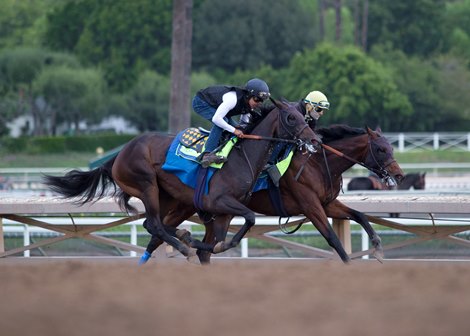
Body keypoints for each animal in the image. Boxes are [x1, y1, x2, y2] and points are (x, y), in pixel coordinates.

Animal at [43, 100, 320, 262]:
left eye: (302, 116)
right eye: (291, 118)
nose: (314, 140)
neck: (243, 156)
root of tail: (118, 155)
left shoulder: (224, 212)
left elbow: (222, 239)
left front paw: (210, 245)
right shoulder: (218, 201)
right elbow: (249, 219)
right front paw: (196, 244)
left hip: (167, 196)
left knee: (154, 225)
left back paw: (182, 236)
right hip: (146, 185)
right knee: (154, 224)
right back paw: (183, 243)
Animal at [145, 124, 406, 264]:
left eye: (391, 148)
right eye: (381, 149)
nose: (399, 174)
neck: (319, 164)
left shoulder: (327, 203)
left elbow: (359, 215)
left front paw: (378, 247)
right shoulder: (311, 205)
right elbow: (332, 237)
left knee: (190, 243)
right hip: (189, 204)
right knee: (158, 228)